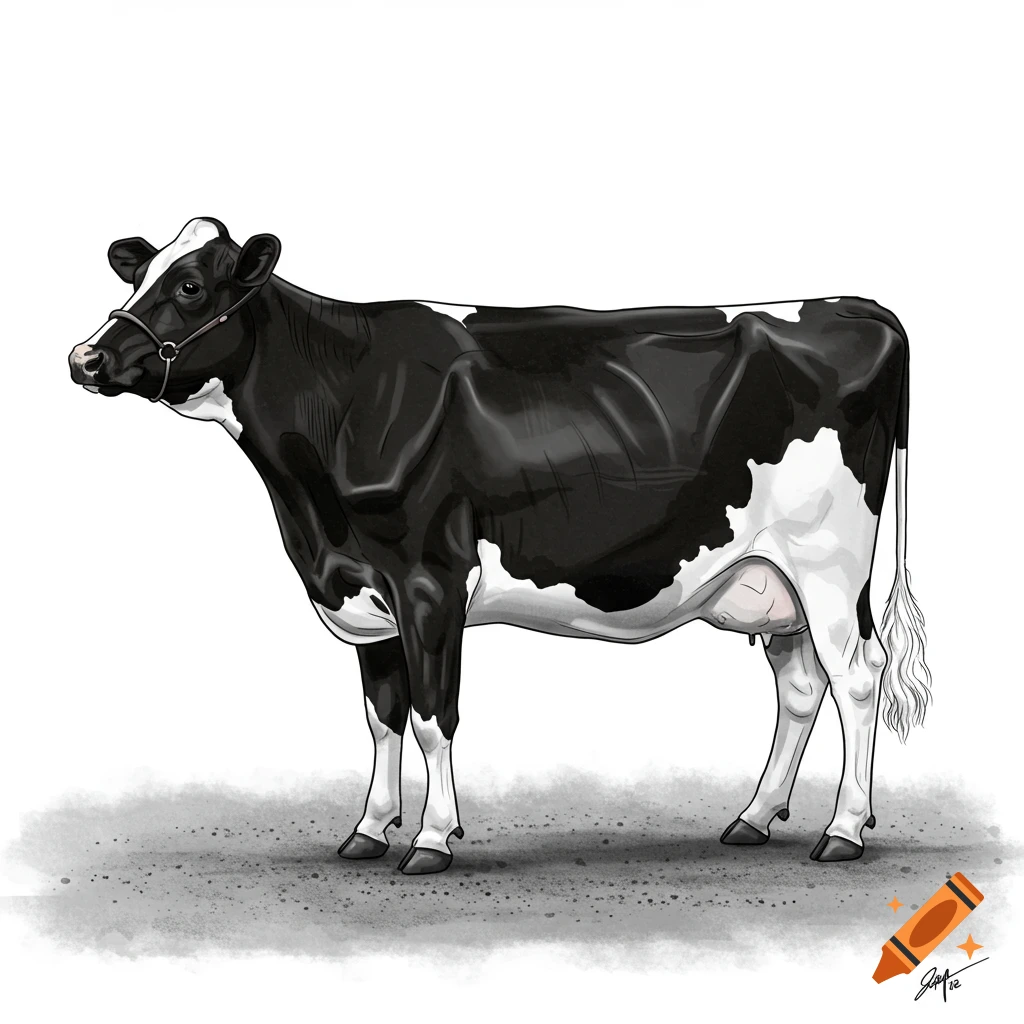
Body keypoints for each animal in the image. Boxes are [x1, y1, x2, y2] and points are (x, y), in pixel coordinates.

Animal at [68, 218, 932, 875]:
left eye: (190, 286)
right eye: (138, 273)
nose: (85, 357)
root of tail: (854, 306)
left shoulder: (429, 583)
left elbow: (431, 716)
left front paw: (429, 839)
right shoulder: (364, 591)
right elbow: (381, 716)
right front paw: (367, 830)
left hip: (829, 561)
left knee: (857, 678)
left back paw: (844, 831)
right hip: (766, 575)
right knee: (799, 686)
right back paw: (753, 817)